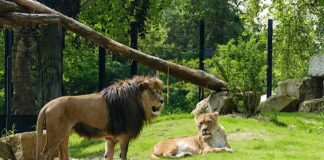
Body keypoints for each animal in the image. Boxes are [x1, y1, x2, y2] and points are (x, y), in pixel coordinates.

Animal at [35, 76, 165, 160]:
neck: (137, 103)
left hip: (64, 135)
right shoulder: (124, 136)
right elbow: (123, 156)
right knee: (45, 154)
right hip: (56, 135)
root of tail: (47, 105)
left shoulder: (110, 139)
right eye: (153, 93)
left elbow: (108, 156)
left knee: (63, 155)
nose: (162, 101)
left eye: (160, 92)